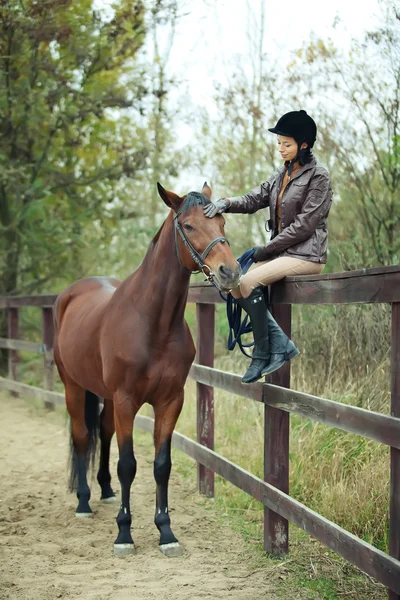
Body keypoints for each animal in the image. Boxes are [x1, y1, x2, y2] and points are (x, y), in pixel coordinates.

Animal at [52, 183, 241, 556]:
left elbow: (161, 465)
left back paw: (106, 491)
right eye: (189, 226)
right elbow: (128, 465)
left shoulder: (170, 401)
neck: (154, 323)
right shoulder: (127, 401)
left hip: (107, 397)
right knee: (81, 436)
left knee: (104, 432)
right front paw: (124, 535)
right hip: (74, 388)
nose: (230, 272)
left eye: (222, 222)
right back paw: (84, 501)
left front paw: (166, 532)